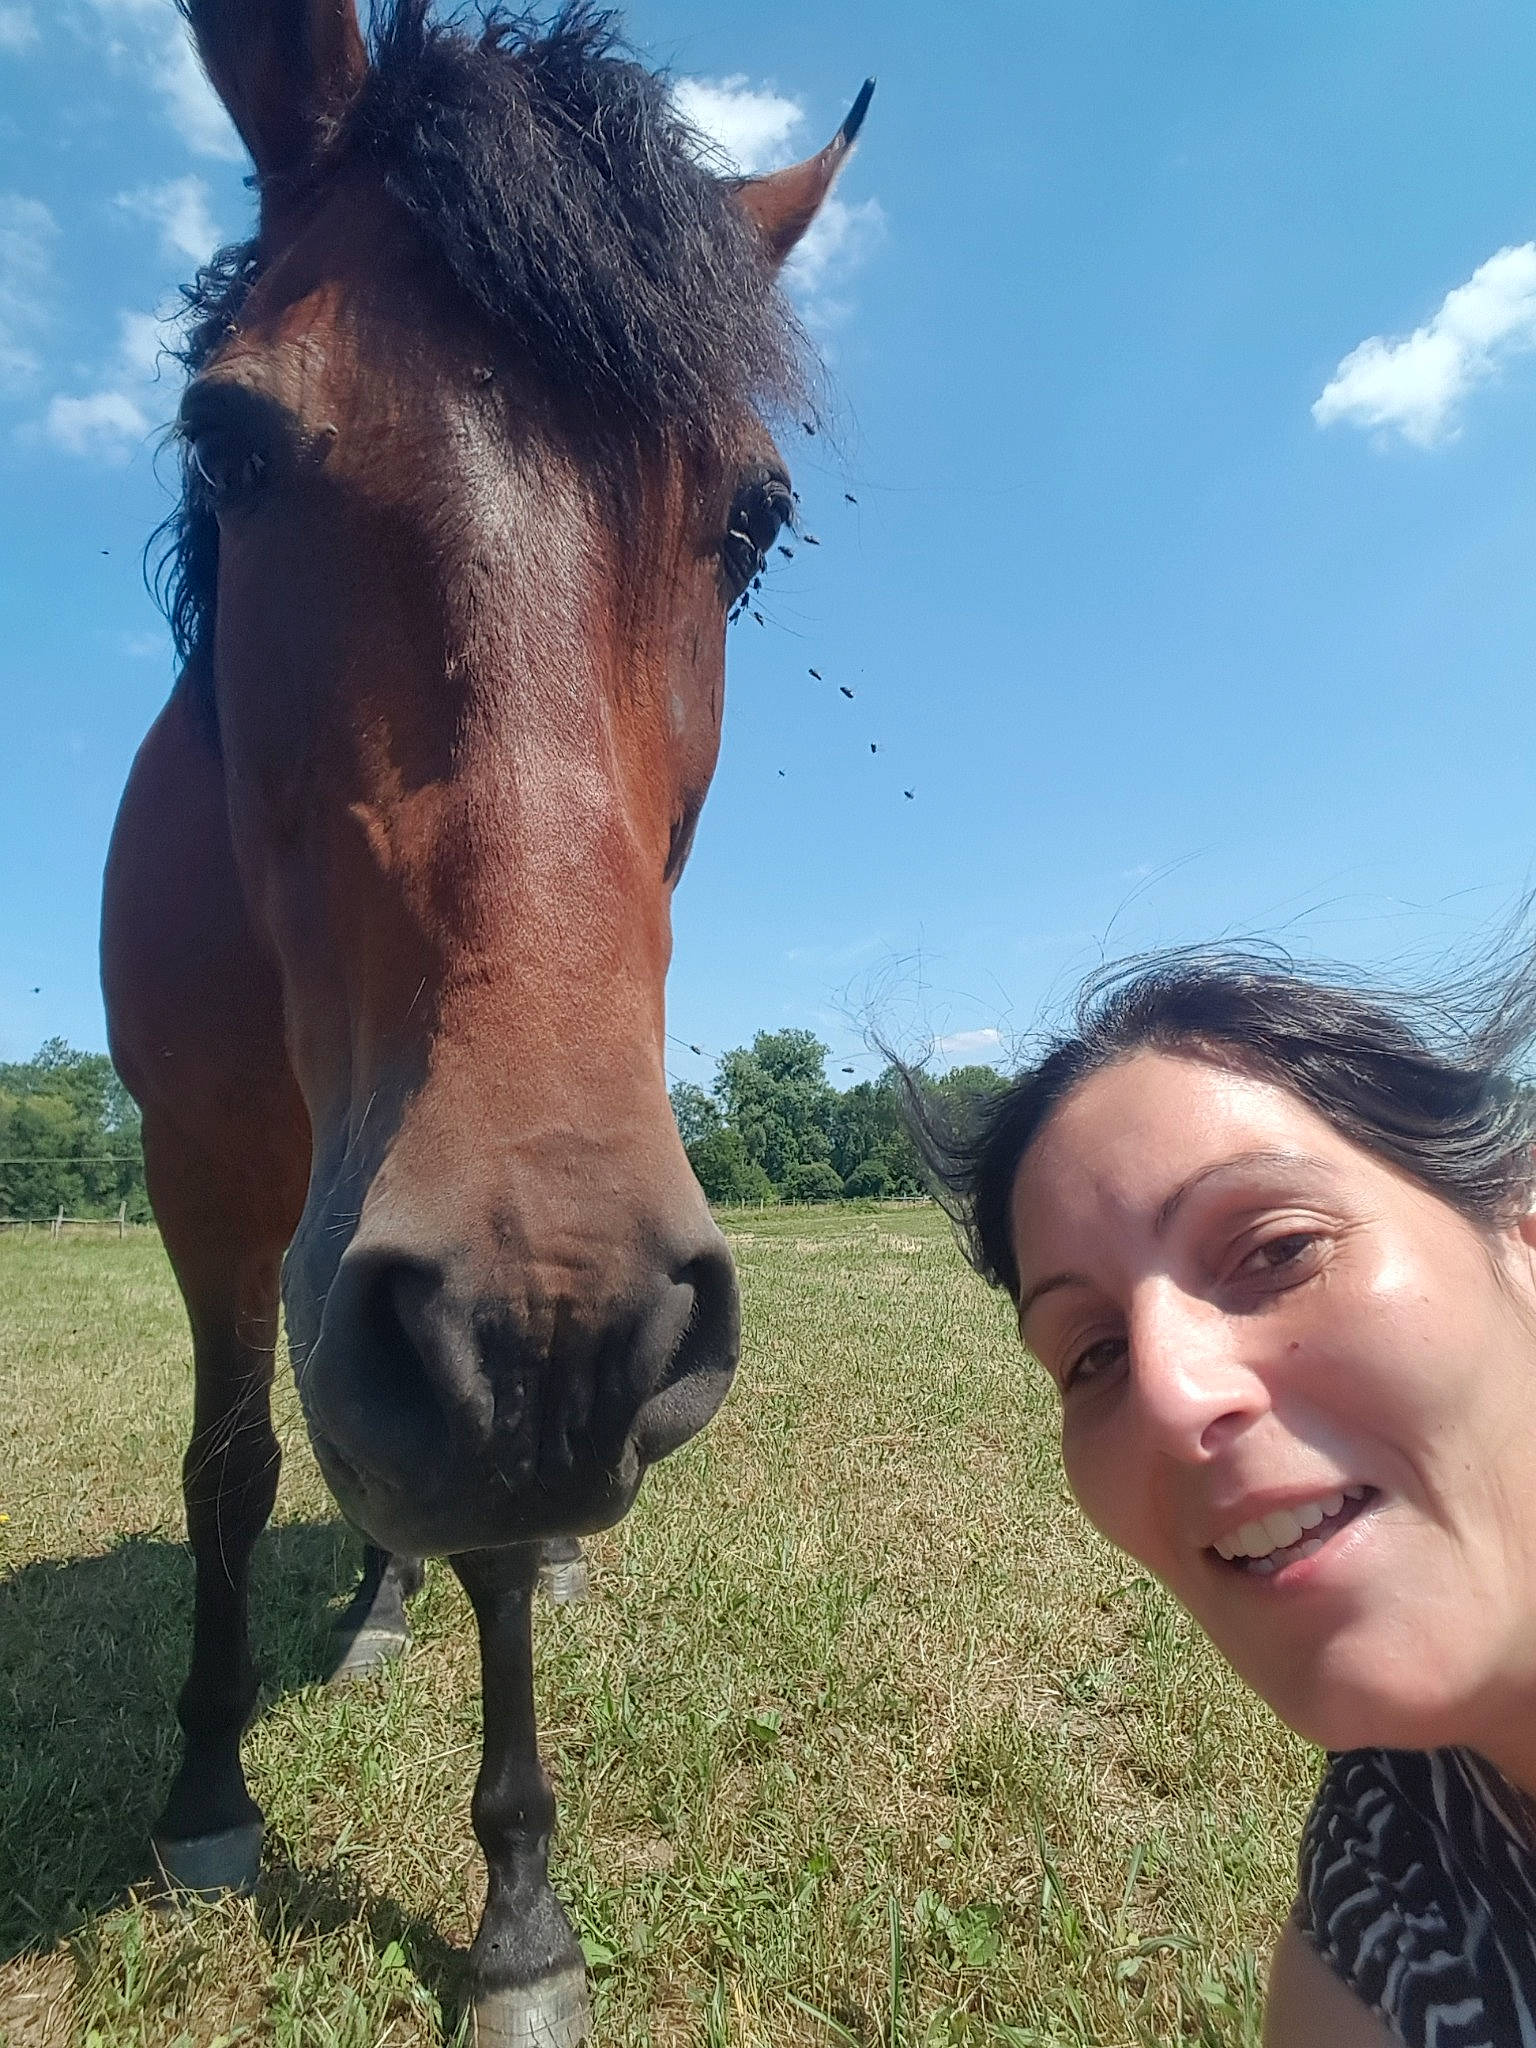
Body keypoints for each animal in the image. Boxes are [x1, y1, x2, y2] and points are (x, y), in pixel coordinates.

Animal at [99, 4, 871, 2039]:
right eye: (227, 438)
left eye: (753, 519)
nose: (548, 1319)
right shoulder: (204, 1179)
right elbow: (228, 1469)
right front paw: (203, 1789)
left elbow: (506, 1550)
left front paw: (520, 1918)